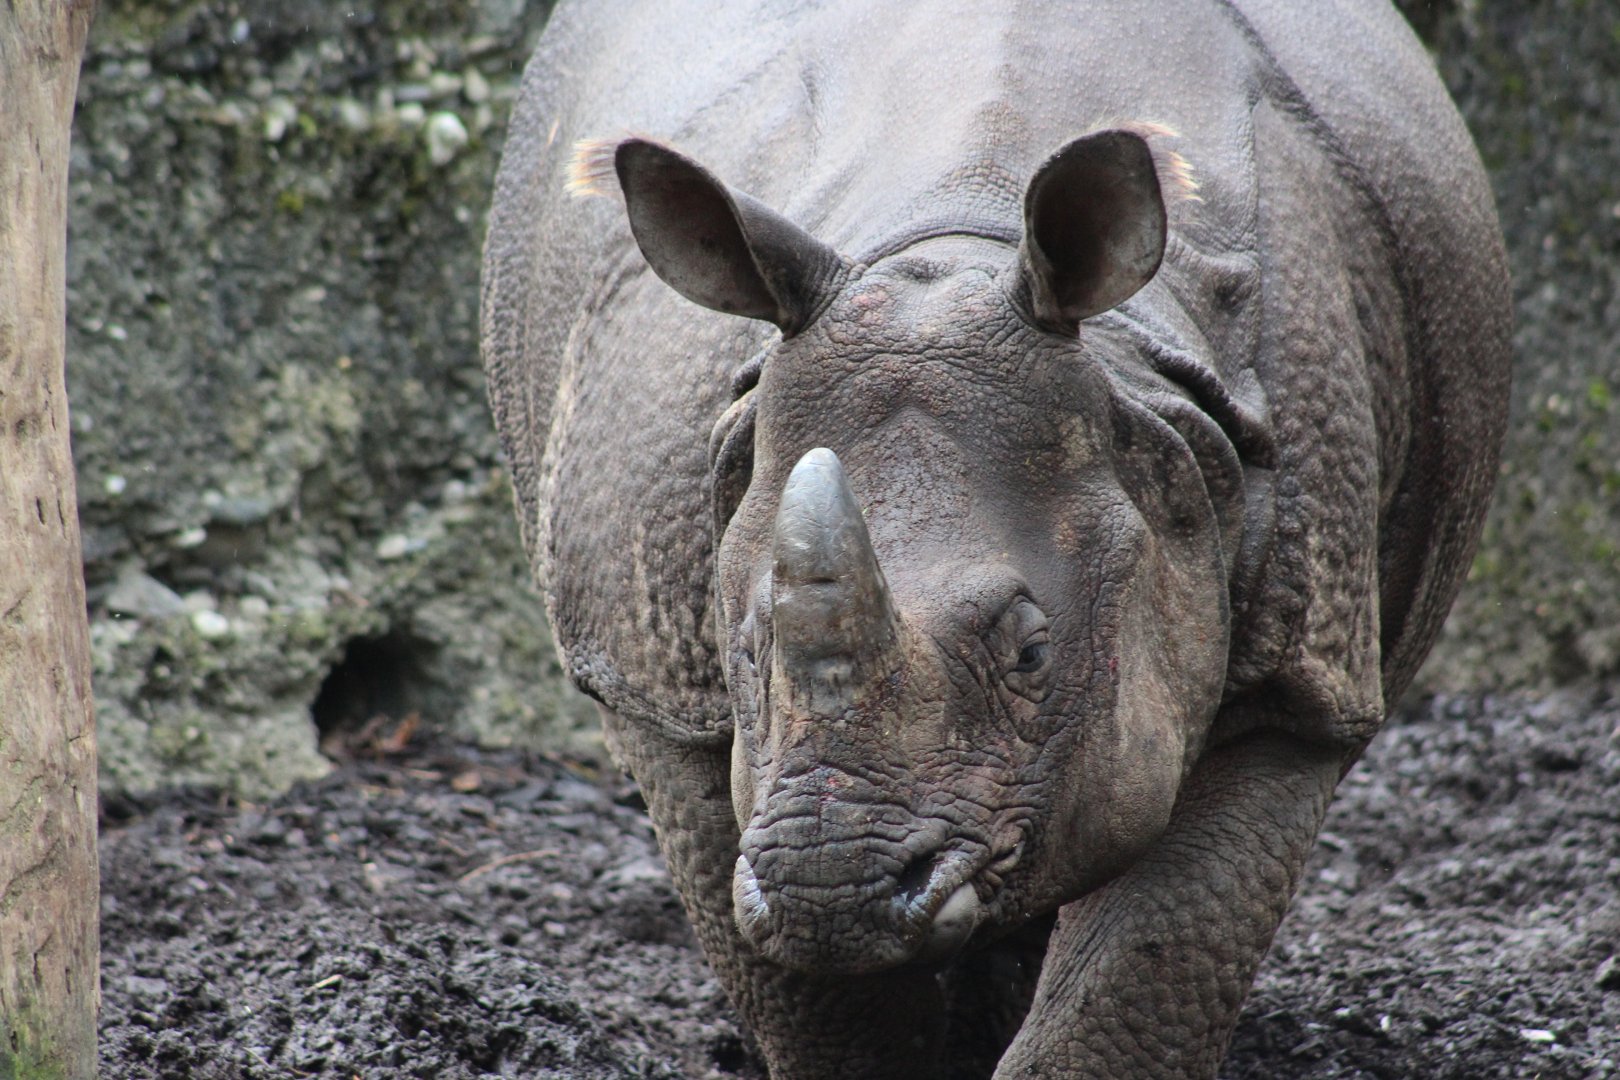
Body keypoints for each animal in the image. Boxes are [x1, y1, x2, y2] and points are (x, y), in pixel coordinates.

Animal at [481, 1, 1510, 1075]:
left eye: (1031, 653)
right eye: (746, 648)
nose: (832, 890)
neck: (954, 247)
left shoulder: (1302, 675)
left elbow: (1150, 965)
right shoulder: (656, 683)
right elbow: (810, 1000)